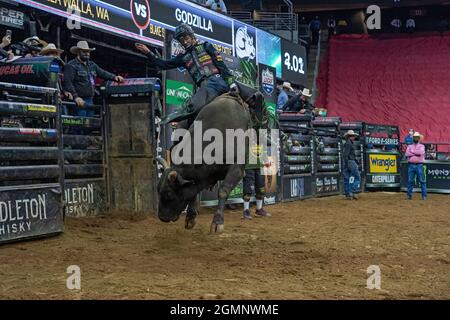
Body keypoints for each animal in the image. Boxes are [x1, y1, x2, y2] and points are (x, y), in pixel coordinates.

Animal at [156, 90, 258, 232]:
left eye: (169, 194)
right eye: (158, 191)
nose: (162, 217)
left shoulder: (236, 169)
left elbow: (223, 191)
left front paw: (217, 222)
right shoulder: (206, 174)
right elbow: (195, 189)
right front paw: (190, 217)